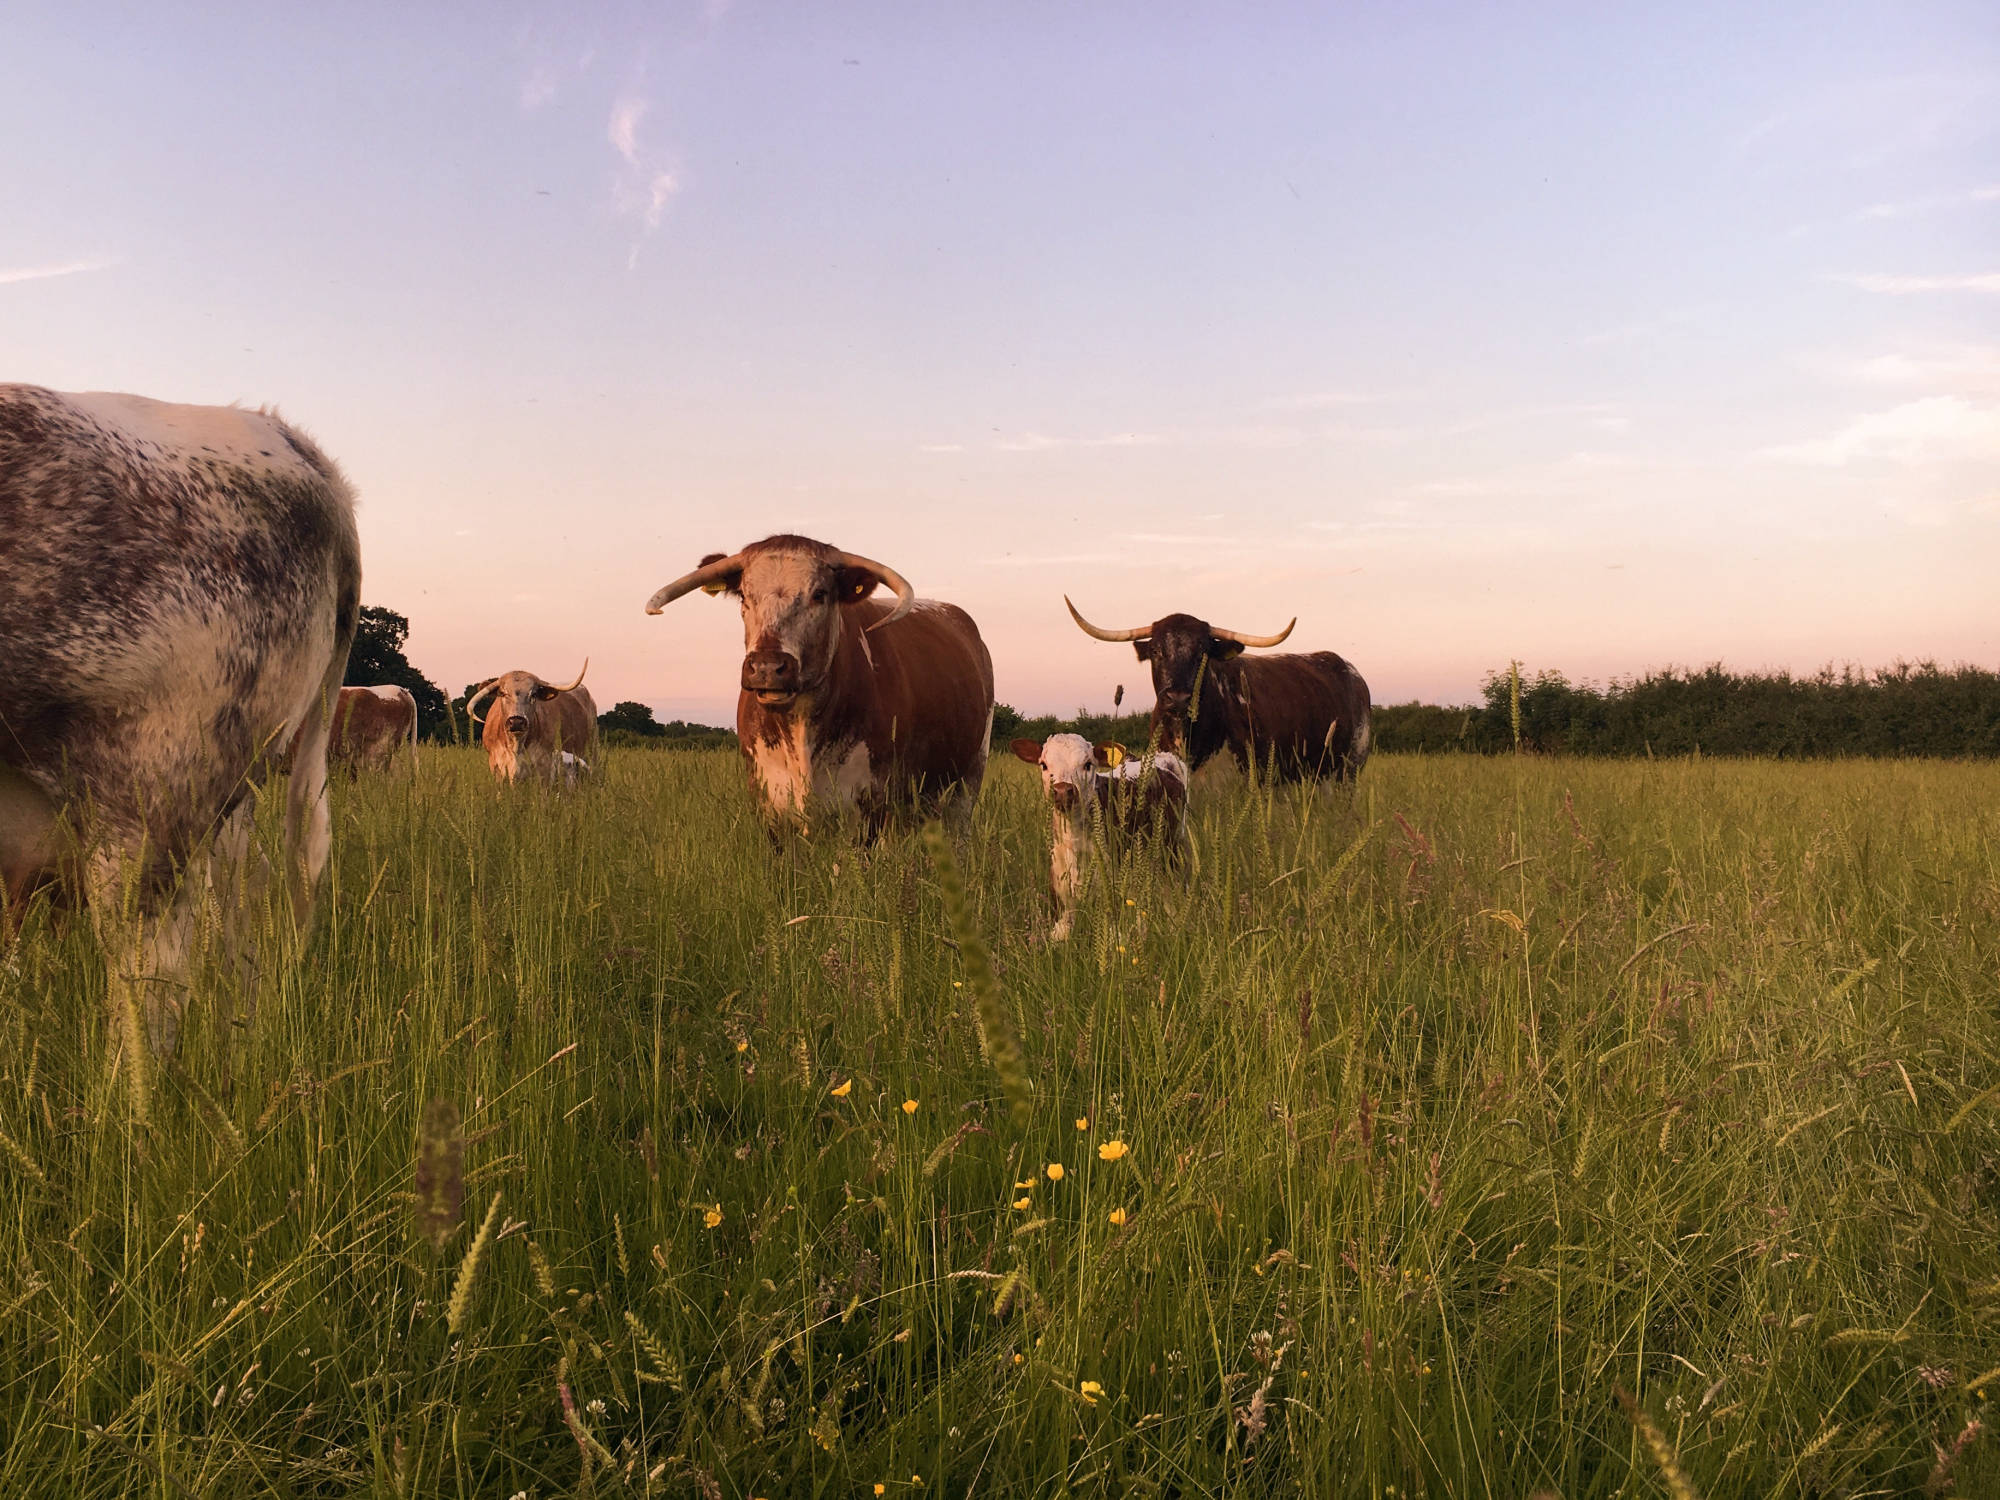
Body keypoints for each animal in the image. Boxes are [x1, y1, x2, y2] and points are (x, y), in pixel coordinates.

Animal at [464, 668, 596, 788]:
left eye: (534, 694)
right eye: (502, 693)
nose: (516, 722)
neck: (516, 746)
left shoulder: (544, 764)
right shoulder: (496, 764)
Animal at [652, 532, 996, 840]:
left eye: (819, 594)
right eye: (745, 597)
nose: (767, 667)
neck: (801, 725)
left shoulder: (868, 804)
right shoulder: (769, 806)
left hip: (968, 779)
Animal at [1016, 736, 1184, 944]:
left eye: (1088, 764)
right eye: (1044, 765)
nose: (1062, 790)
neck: (1075, 843)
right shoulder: (1061, 889)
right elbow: (1061, 932)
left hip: (1170, 850)